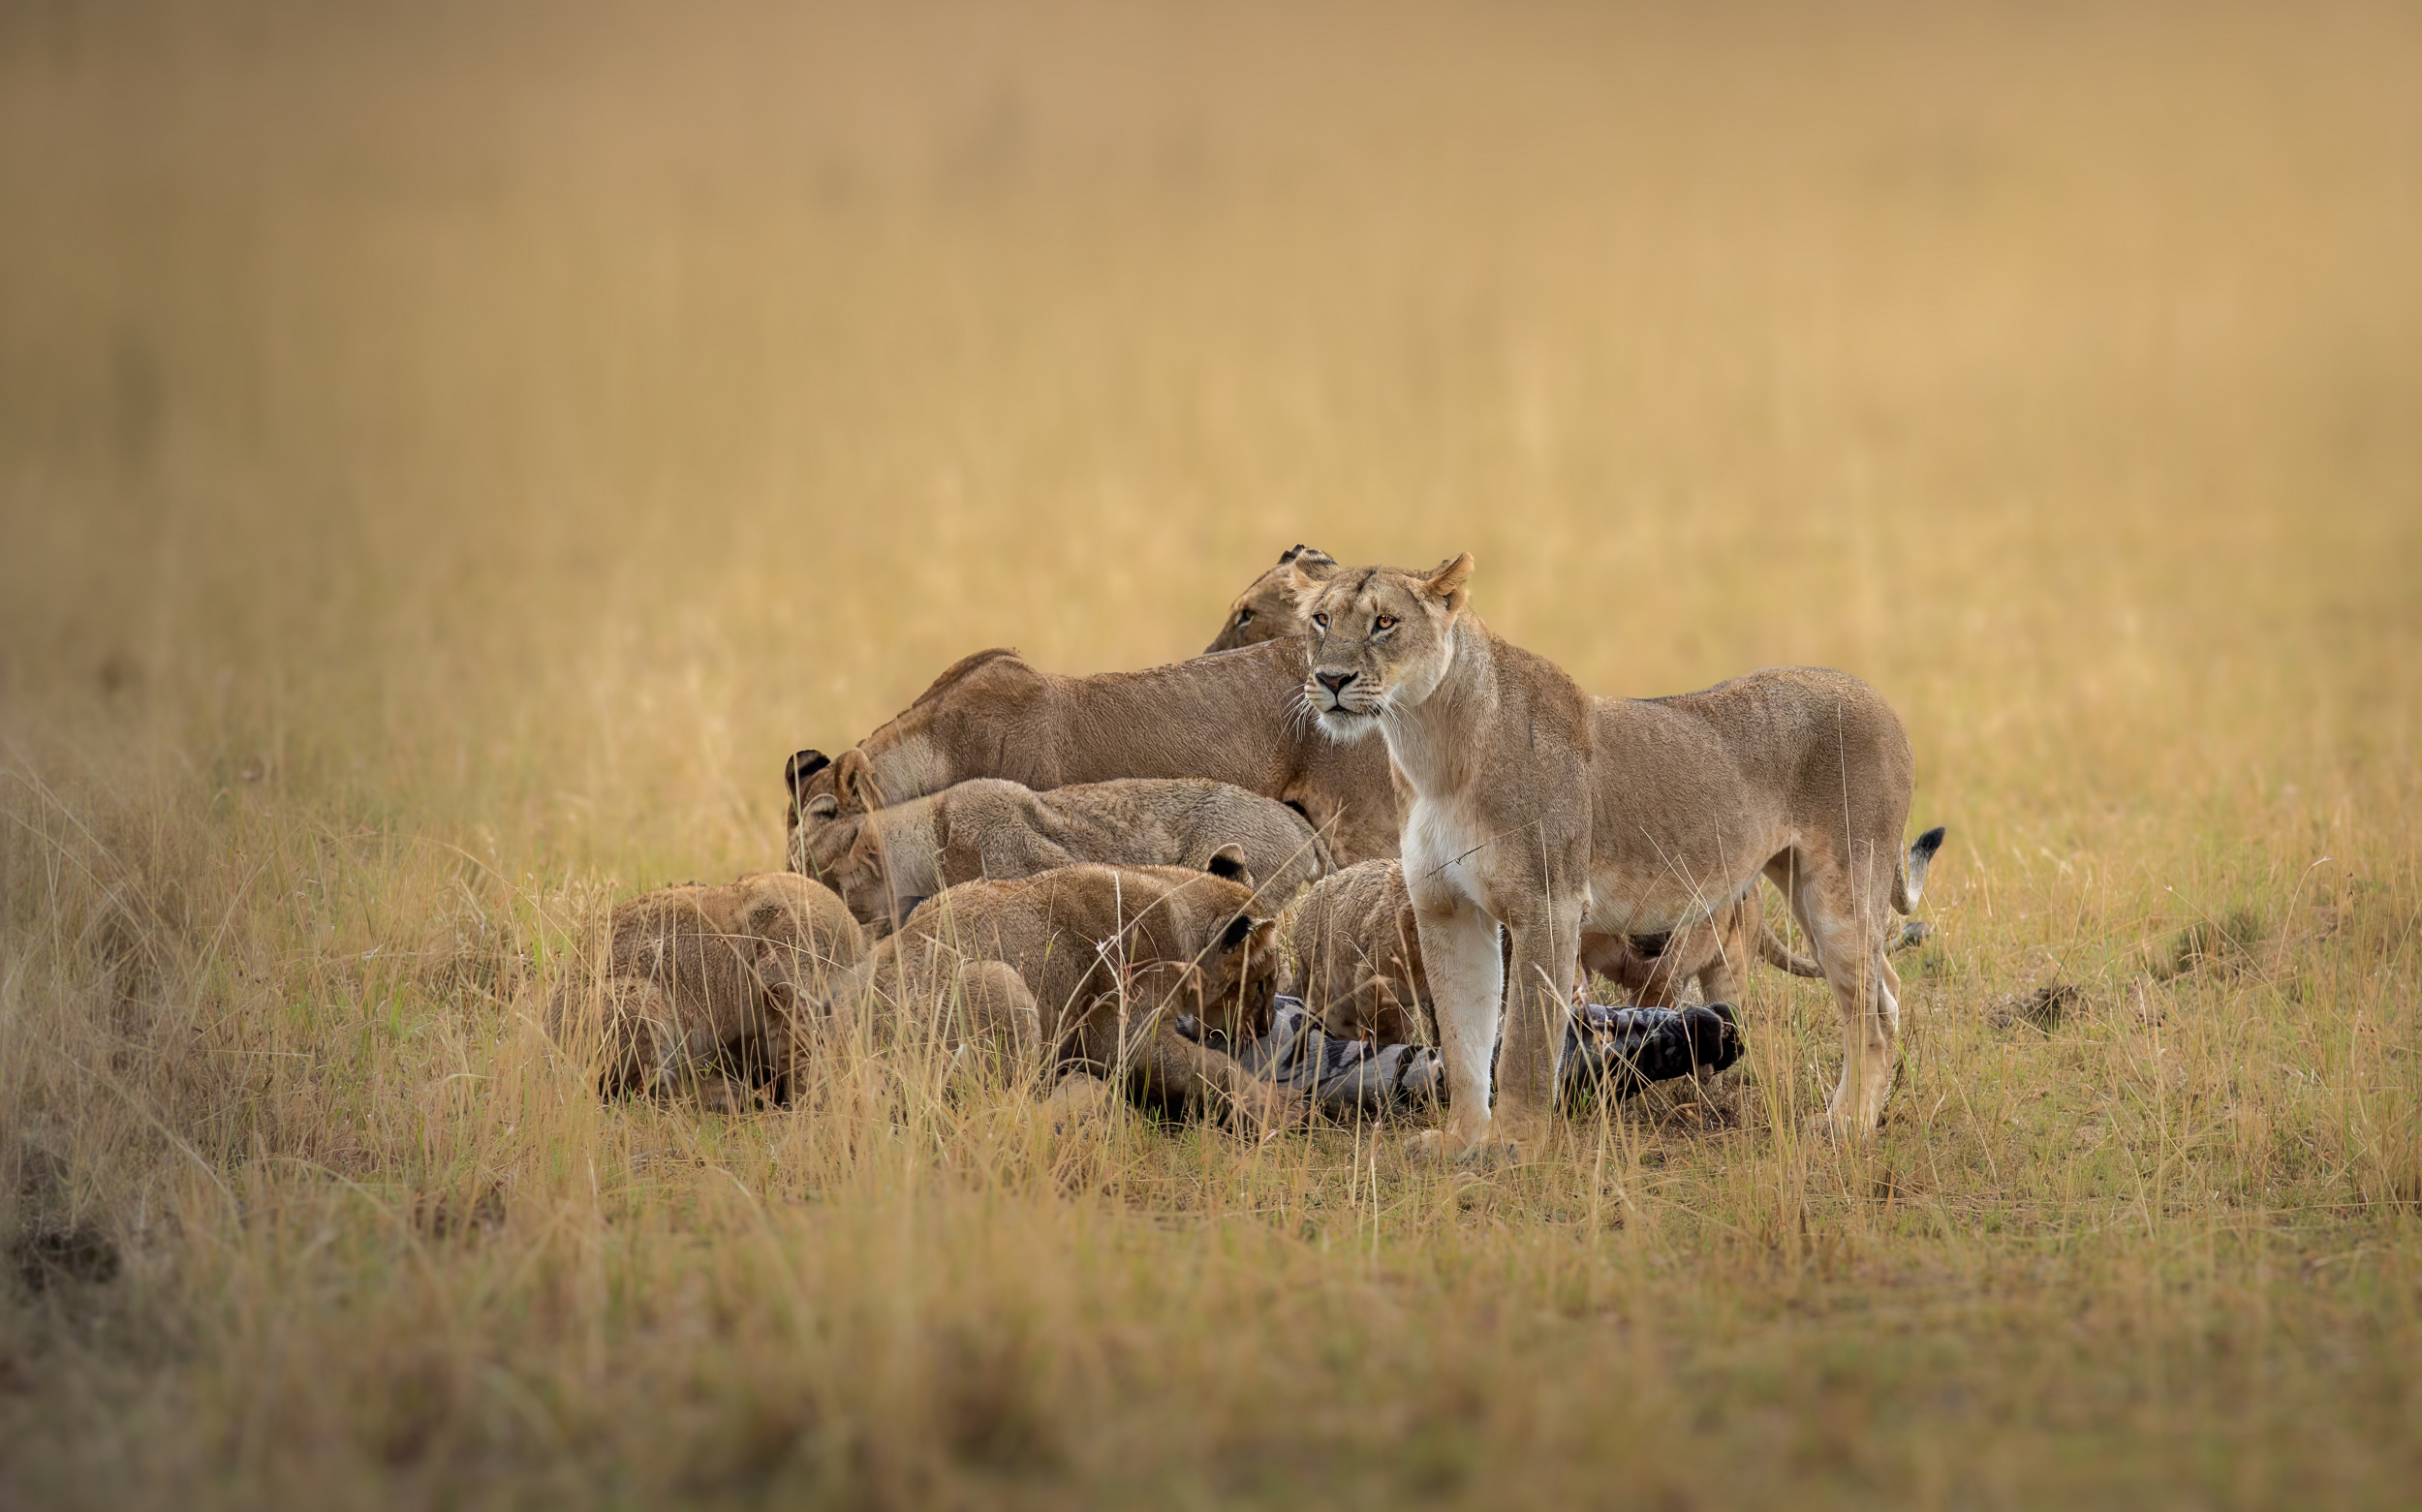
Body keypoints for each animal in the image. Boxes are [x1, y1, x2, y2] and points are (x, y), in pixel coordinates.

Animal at [854, 862, 1299, 1128]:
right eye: (1263, 982)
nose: (1263, 1029)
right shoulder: (1118, 1034)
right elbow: (1214, 1066)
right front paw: (1278, 1105)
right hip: (1002, 982)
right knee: (1002, 1113)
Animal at [1292, 554, 1942, 1149]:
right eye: (1321, 619)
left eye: (1384, 621)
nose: (1330, 679)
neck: (1431, 746)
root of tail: (1879, 700)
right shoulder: (1445, 908)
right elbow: (1462, 1037)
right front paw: (1460, 1141)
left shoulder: (1548, 906)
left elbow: (1525, 1042)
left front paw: (1513, 1147)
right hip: (1805, 888)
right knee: (1885, 990)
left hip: (1841, 886)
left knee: (1870, 1012)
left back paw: (1847, 1127)